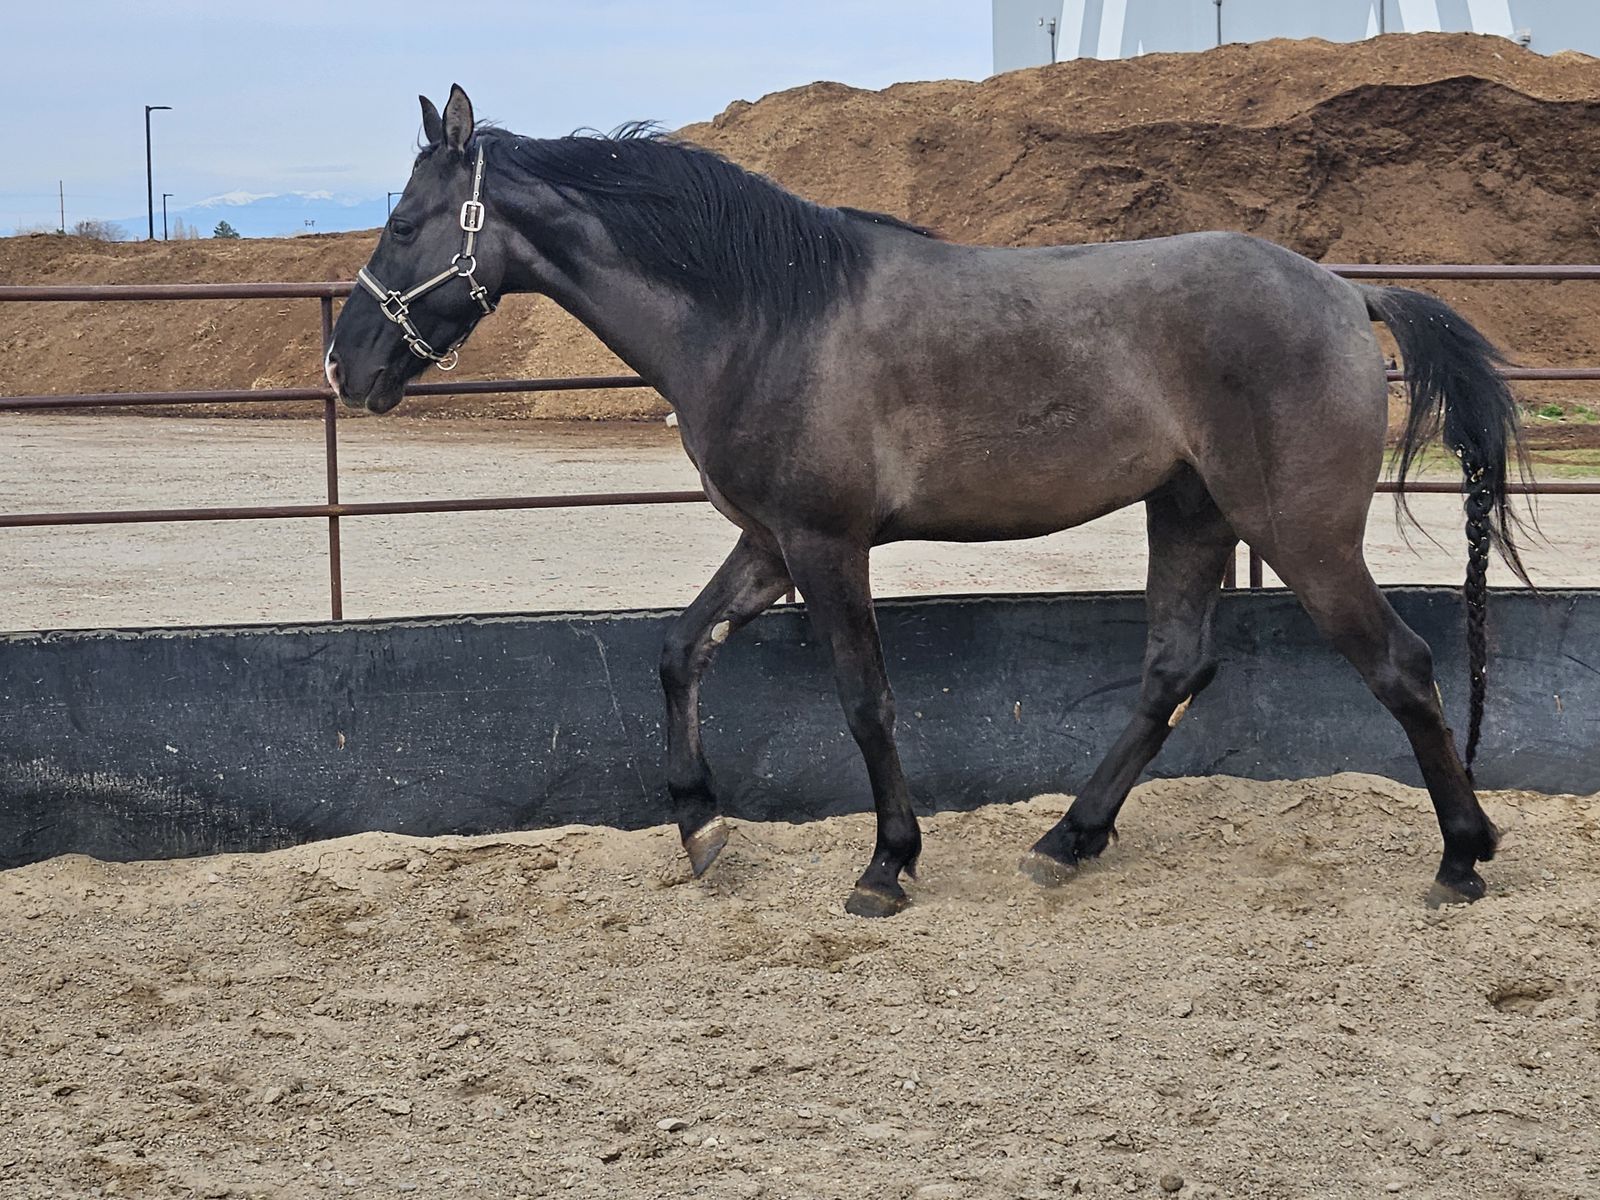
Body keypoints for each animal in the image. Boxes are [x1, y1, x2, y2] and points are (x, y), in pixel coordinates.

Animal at [327, 85, 1531, 918]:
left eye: (402, 223)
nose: (346, 365)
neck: (763, 313)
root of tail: (1345, 292)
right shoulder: (769, 544)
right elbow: (678, 650)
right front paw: (700, 829)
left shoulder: (825, 545)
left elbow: (865, 702)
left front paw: (886, 866)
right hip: (1188, 514)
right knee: (1173, 671)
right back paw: (1065, 840)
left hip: (1299, 534)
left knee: (1401, 667)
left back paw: (1461, 857)